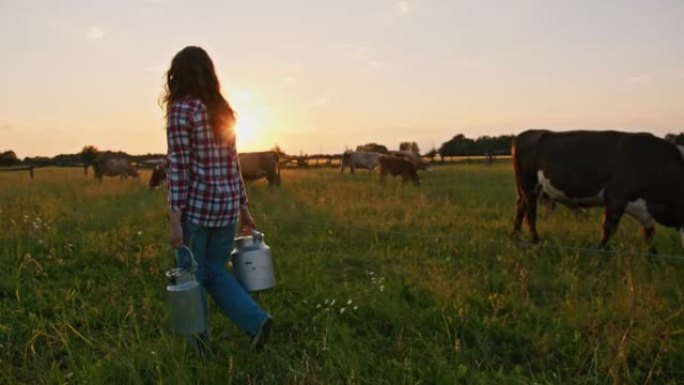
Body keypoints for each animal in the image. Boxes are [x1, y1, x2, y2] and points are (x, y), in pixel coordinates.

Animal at [510, 127, 684, 250]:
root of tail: (526, 133)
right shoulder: (615, 198)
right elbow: (608, 229)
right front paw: (601, 255)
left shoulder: (643, 211)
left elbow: (649, 238)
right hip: (529, 186)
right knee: (530, 215)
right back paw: (536, 242)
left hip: (523, 190)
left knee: (520, 209)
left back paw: (515, 238)